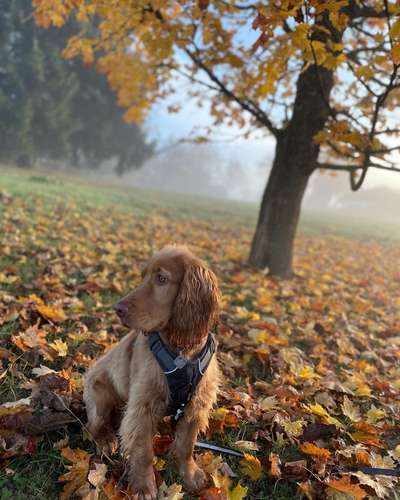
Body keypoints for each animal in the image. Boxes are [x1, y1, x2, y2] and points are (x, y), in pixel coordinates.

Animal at [83, 244, 222, 498]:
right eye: (143, 276)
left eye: (161, 279)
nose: (117, 308)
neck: (181, 352)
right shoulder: (143, 407)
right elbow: (143, 451)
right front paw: (143, 486)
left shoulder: (196, 405)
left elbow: (186, 445)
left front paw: (189, 474)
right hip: (100, 395)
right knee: (93, 425)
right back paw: (106, 440)